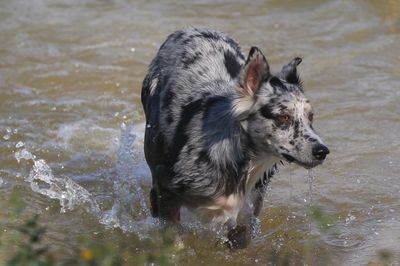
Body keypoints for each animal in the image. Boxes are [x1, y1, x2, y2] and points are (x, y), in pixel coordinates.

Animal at [141, 28, 328, 247]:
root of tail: (189, 30)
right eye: (283, 117)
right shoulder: (163, 193)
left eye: (310, 117)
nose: (322, 151)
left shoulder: (250, 204)